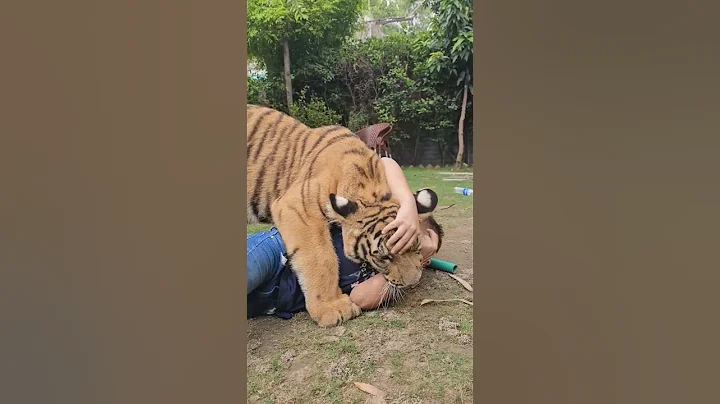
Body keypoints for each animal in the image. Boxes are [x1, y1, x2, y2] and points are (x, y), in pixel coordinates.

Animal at [247, 105, 439, 327]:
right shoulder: (298, 207)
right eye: (383, 257)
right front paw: (333, 308)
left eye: (417, 247)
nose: (413, 282)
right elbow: (321, 258)